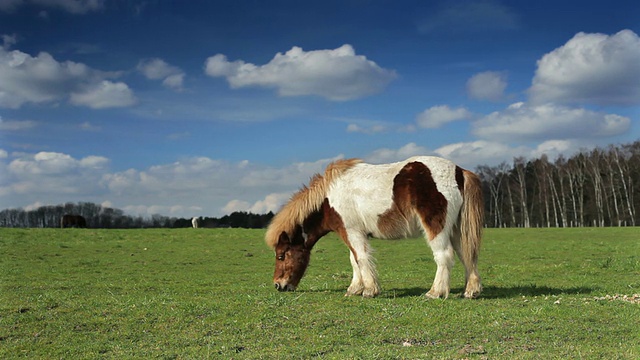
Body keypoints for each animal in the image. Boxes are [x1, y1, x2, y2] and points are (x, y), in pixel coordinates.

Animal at [262, 156, 482, 300]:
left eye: (281, 255)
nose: (278, 285)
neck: (328, 198)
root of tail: (459, 172)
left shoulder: (351, 232)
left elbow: (360, 258)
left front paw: (369, 290)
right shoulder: (356, 233)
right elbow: (354, 260)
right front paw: (354, 288)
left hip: (437, 228)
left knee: (444, 256)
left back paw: (435, 292)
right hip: (456, 230)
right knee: (466, 254)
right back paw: (470, 291)